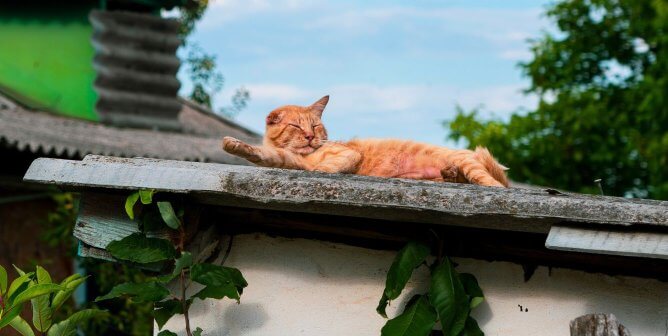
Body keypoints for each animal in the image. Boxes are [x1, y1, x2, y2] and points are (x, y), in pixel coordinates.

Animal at [222, 96, 508, 188]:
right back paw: (450, 175)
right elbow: (259, 153)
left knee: (494, 184)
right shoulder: (285, 160)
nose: (310, 137)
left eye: (314, 126)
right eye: (295, 126)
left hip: (473, 166)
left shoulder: (346, 155)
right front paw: (232, 144)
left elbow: (324, 168)